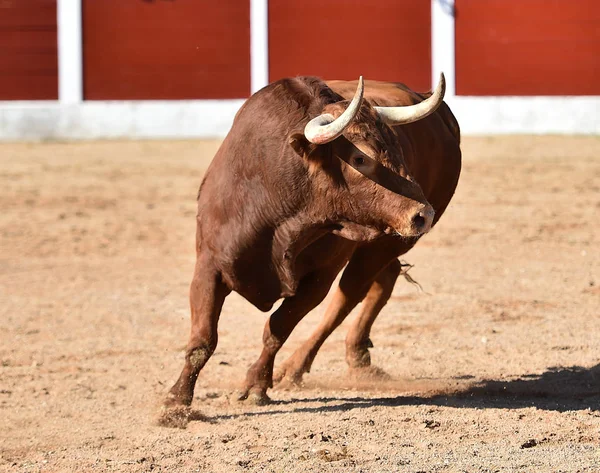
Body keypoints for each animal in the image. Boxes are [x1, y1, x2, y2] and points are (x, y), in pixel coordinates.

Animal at [166, 73, 462, 406]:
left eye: (398, 148)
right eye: (360, 158)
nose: (423, 214)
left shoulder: (318, 279)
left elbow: (278, 328)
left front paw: (256, 385)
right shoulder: (209, 265)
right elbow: (203, 338)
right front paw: (176, 401)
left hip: (387, 244)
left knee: (347, 298)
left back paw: (295, 368)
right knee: (381, 282)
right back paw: (356, 355)